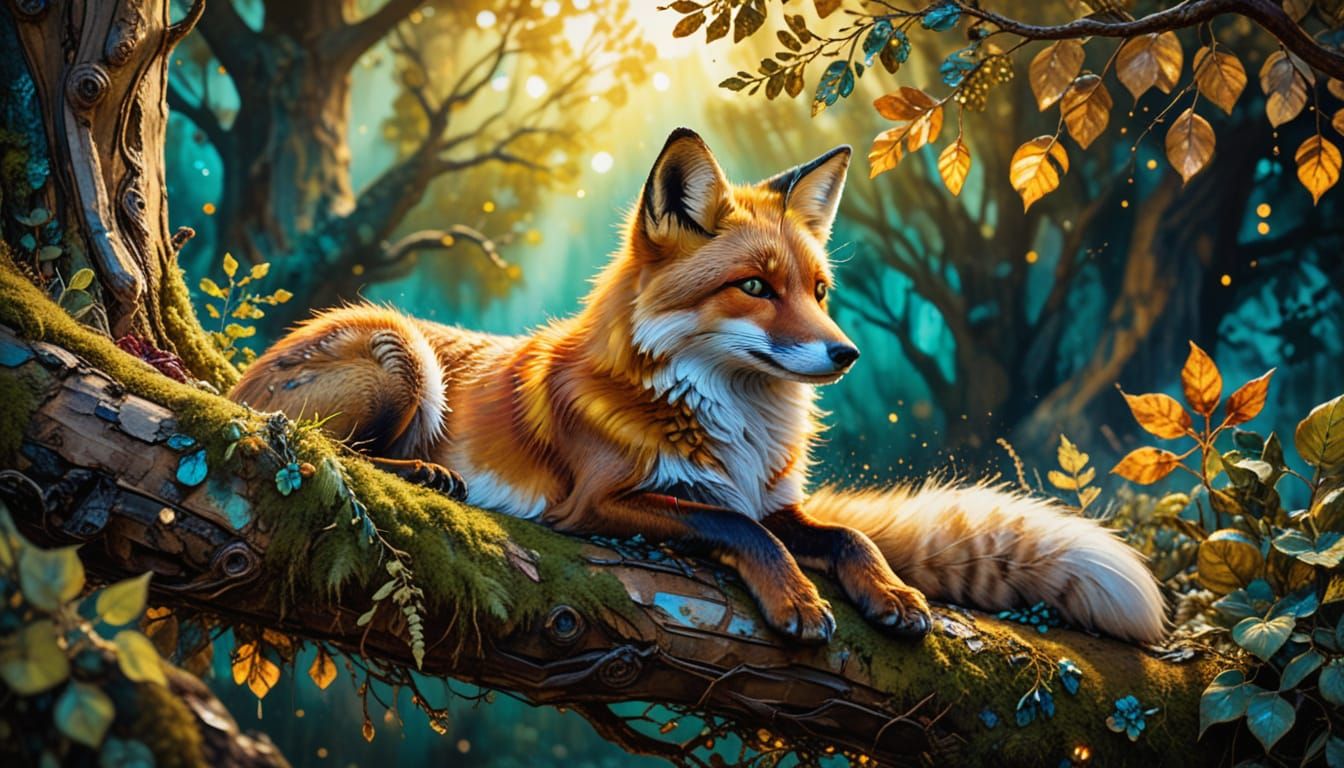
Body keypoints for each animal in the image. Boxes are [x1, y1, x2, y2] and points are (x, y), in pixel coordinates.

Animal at [231, 128, 1166, 645]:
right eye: (754, 287)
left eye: (818, 291)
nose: (847, 354)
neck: (738, 426)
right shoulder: (602, 501)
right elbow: (737, 531)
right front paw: (794, 601)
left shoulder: (771, 497)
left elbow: (844, 537)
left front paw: (891, 593)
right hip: (404, 356)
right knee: (321, 444)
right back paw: (424, 471)